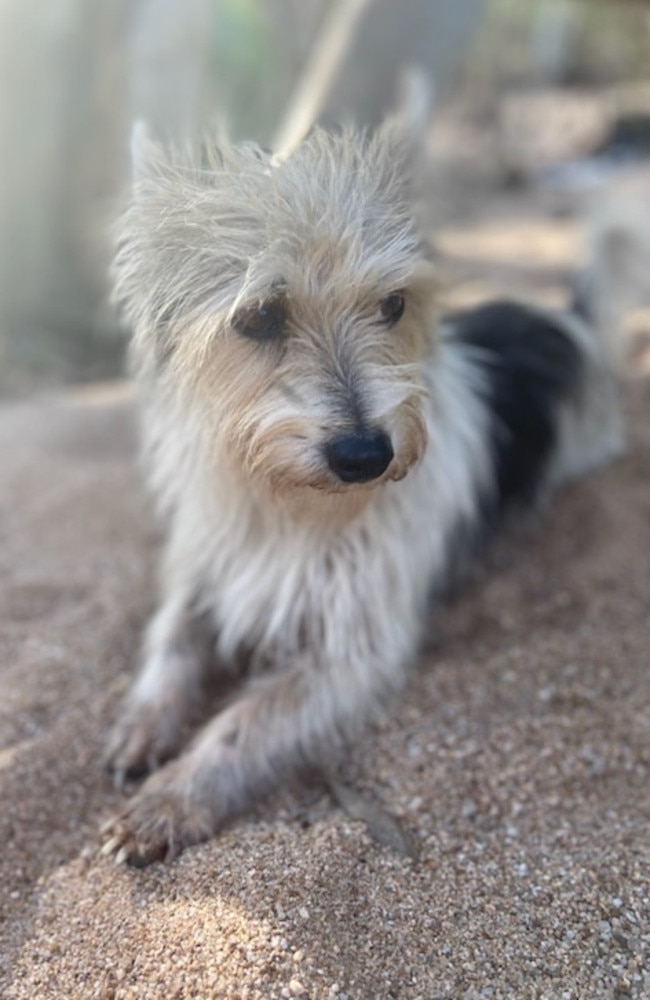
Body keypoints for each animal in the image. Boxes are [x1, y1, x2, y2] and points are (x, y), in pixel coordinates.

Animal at [104, 117, 624, 864]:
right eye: (258, 316)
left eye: (392, 305)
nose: (367, 455)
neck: (288, 508)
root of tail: (564, 319)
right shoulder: (209, 562)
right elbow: (171, 640)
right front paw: (144, 722)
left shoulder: (350, 650)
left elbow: (245, 721)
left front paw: (172, 799)